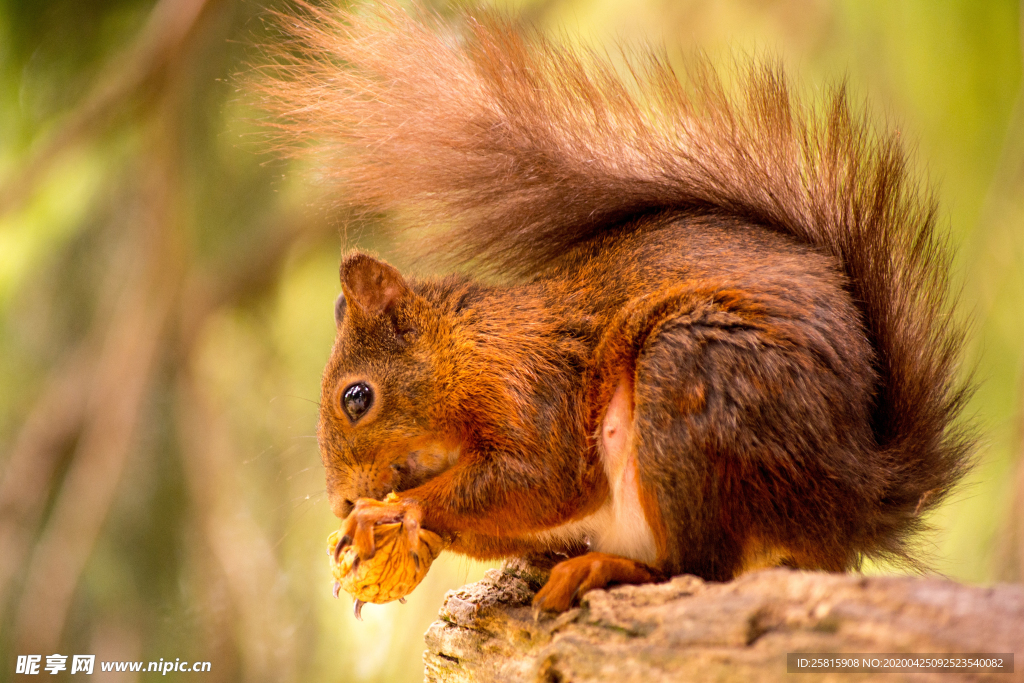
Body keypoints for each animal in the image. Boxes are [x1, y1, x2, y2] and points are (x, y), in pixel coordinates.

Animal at [256, 0, 966, 610]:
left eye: (356, 397)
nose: (342, 503)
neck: (468, 347)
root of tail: (855, 497)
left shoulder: (531, 388)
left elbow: (539, 479)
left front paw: (395, 510)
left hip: (691, 385)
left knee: (697, 569)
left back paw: (608, 569)